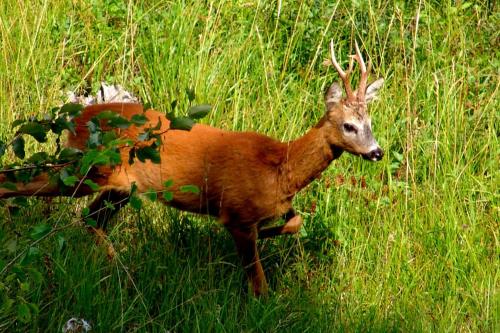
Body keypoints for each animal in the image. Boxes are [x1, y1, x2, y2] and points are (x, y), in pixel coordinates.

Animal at [0, 39, 384, 296]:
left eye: (370, 122)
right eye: (349, 125)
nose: (377, 151)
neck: (280, 167)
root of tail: (76, 117)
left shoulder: (270, 208)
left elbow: (294, 222)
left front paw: (269, 234)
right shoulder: (237, 212)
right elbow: (258, 280)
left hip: (118, 187)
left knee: (90, 219)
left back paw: (121, 270)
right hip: (83, 169)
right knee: (17, 181)